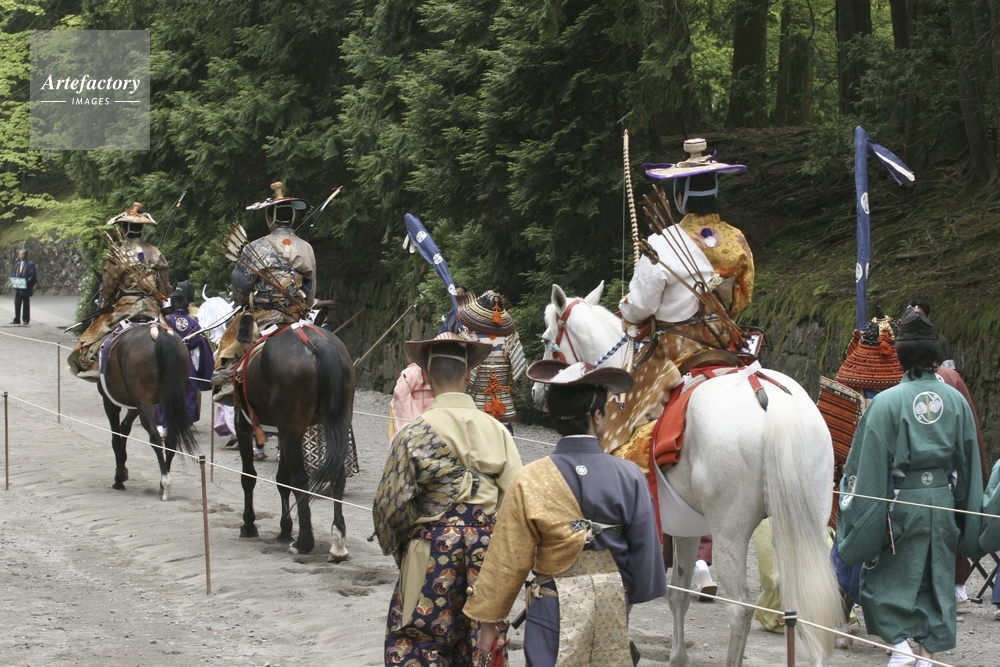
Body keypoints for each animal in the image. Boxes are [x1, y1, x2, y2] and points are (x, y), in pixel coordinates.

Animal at [99, 322, 198, 501]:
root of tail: (159, 333)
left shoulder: (111, 401)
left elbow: (116, 437)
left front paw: (119, 477)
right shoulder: (135, 404)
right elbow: (124, 429)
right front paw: (122, 471)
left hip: (145, 402)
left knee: (155, 438)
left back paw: (166, 483)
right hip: (170, 398)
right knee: (171, 439)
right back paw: (162, 483)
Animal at [233, 322, 355, 562]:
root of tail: (318, 345)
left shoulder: (244, 423)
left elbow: (249, 477)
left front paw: (249, 525)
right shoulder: (282, 431)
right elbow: (282, 480)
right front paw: (284, 530)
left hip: (292, 428)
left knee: (300, 480)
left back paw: (304, 542)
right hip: (336, 422)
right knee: (337, 477)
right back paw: (338, 542)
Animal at [535, 283, 842, 667]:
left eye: (548, 340)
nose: (538, 394)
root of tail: (770, 399)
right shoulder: (685, 523)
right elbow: (677, 592)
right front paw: (676, 655)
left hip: (730, 529)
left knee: (740, 609)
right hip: (806, 520)